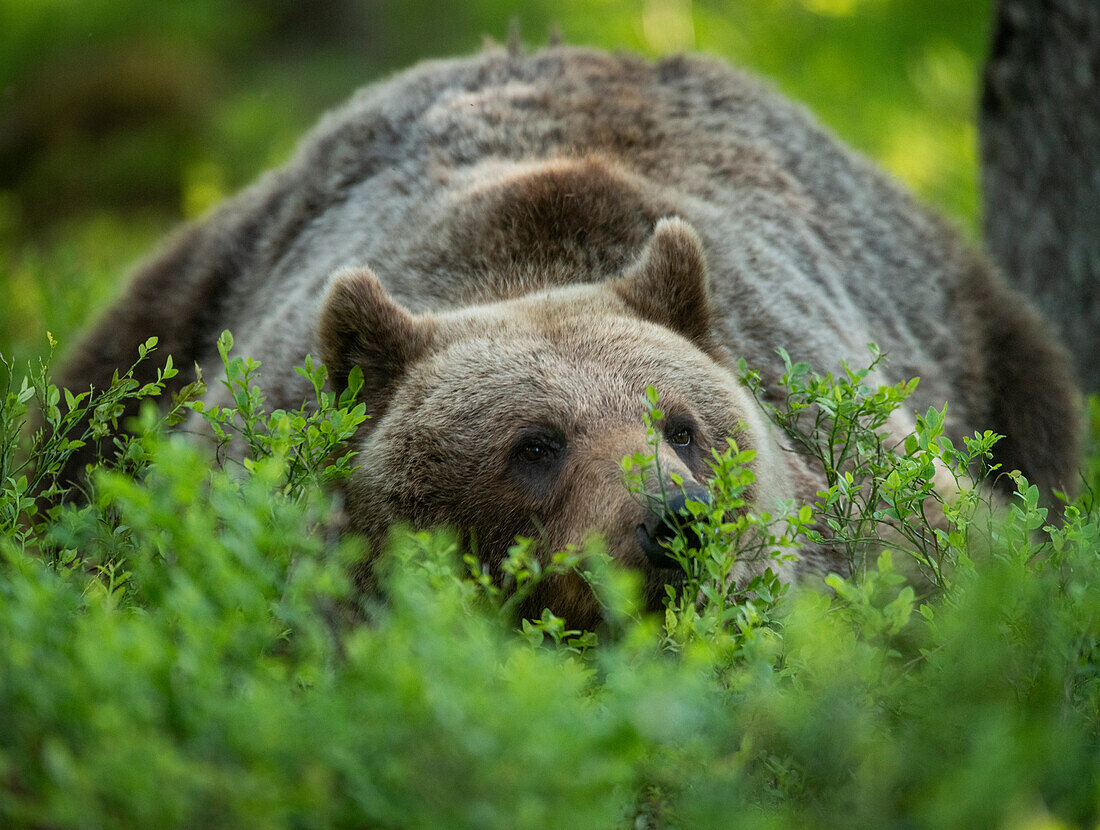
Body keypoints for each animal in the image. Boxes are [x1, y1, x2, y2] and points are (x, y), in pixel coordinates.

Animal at [55, 45, 1078, 624]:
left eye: (682, 427)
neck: (526, 265)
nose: (675, 521)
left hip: (986, 343)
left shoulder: (859, 478)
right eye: (535, 443)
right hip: (175, 309)